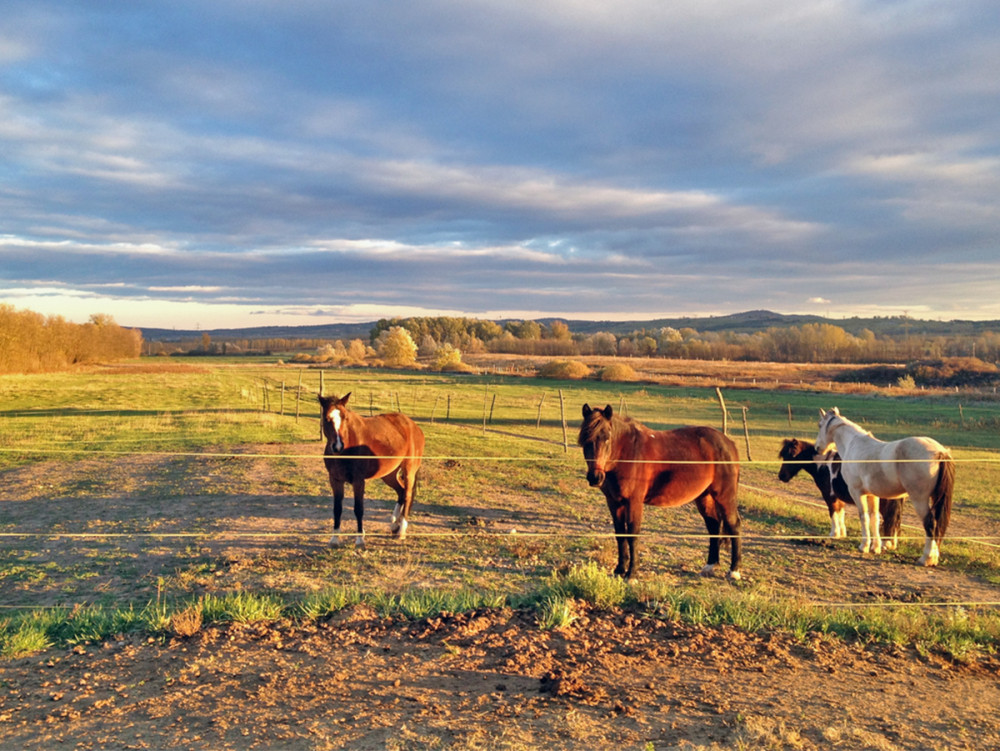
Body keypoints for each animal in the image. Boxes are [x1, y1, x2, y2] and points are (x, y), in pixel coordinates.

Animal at [318, 394, 424, 548]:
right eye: (326, 419)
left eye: (345, 418)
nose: (338, 446)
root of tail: (414, 426)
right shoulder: (335, 480)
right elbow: (337, 509)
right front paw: (334, 539)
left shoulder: (358, 481)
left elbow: (358, 509)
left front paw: (360, 540)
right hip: (389, 474)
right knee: (401, 491)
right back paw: (395, 525)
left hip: (409, 470)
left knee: (407, 495)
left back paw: (401, 530)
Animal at [580, 406, 744, 580]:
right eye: (585, 439)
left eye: (607, 438)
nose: (595, 477)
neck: (628, 453)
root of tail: (728, 443)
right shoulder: (613, 502)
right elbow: (620, 534)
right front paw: (619, 569)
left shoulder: (633, 502)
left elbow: (632, 535)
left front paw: (631, 574)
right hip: (704, 497)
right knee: (713, 525)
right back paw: (710, 565)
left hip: (725, 496)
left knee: (734, 525)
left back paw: (734, 571)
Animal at [776, 440, 904, 548]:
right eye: (783, 455)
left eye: (791, 455)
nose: (781, 476)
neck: (823, 465)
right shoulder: (839, 498)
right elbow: (841, 513)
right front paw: (842, 533)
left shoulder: (829, 496)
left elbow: (833, 513)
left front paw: (834, 533)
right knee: (895, 521)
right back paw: (891, 544)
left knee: (889, 520)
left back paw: (885, 544)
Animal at [816, 408, 956, 568]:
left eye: (820, 425)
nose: (817, 448)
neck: (853, 444)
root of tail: (939, 452)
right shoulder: (872, 495)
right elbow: (874, 518)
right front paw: (875, 547)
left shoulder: (857, 492)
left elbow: (864, 517)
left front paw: (864, 546)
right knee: (937, 525)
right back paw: (934, 557)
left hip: (920, 499)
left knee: (930, 524)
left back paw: (926, 558)